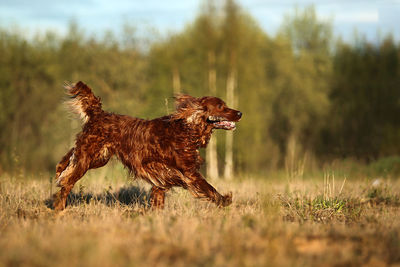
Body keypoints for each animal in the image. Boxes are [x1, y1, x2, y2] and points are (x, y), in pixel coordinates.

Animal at [52, 81, 241, 211]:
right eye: (220, 107)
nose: (240, 113)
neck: (186, 129)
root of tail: (98, 113)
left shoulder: (161, 176)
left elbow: (158, 197)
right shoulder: (189, 173)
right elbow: (209, 188)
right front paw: (226, 200)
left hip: (98, 156)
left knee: (70, 157)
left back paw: (60, 168)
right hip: (89, 157)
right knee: (67, 182)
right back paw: (59, 208)